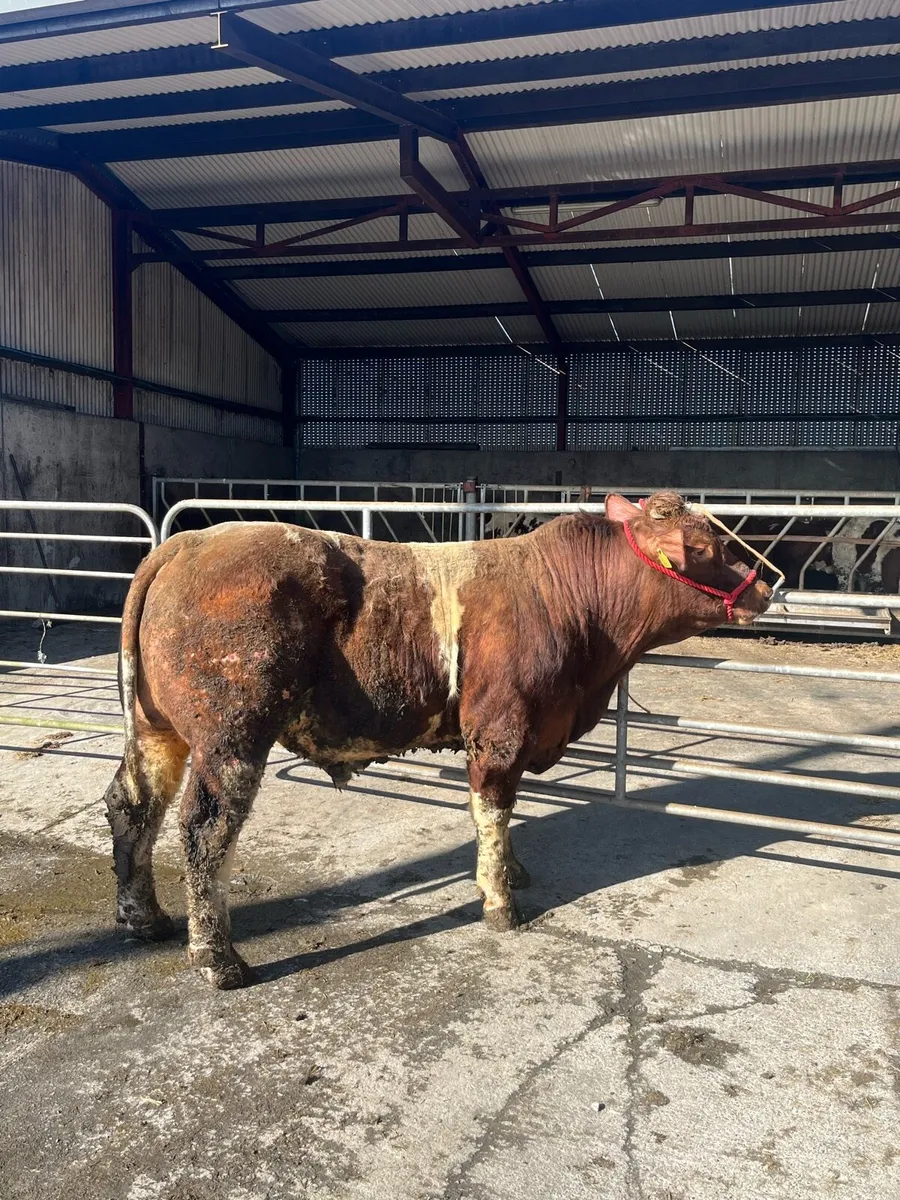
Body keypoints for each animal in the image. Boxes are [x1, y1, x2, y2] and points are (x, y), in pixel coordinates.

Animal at [102, 491, 772, 989]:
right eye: (706, 548)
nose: (766, 587)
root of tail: (186, 543)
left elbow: (499, 816)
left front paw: (514, 872)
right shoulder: (500, 731)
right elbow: (493, 811)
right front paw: (501, 903)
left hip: (158, 730)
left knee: (133, 806)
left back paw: (145, 919)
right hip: (232, 739)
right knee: (204, 829)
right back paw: (219, 962)